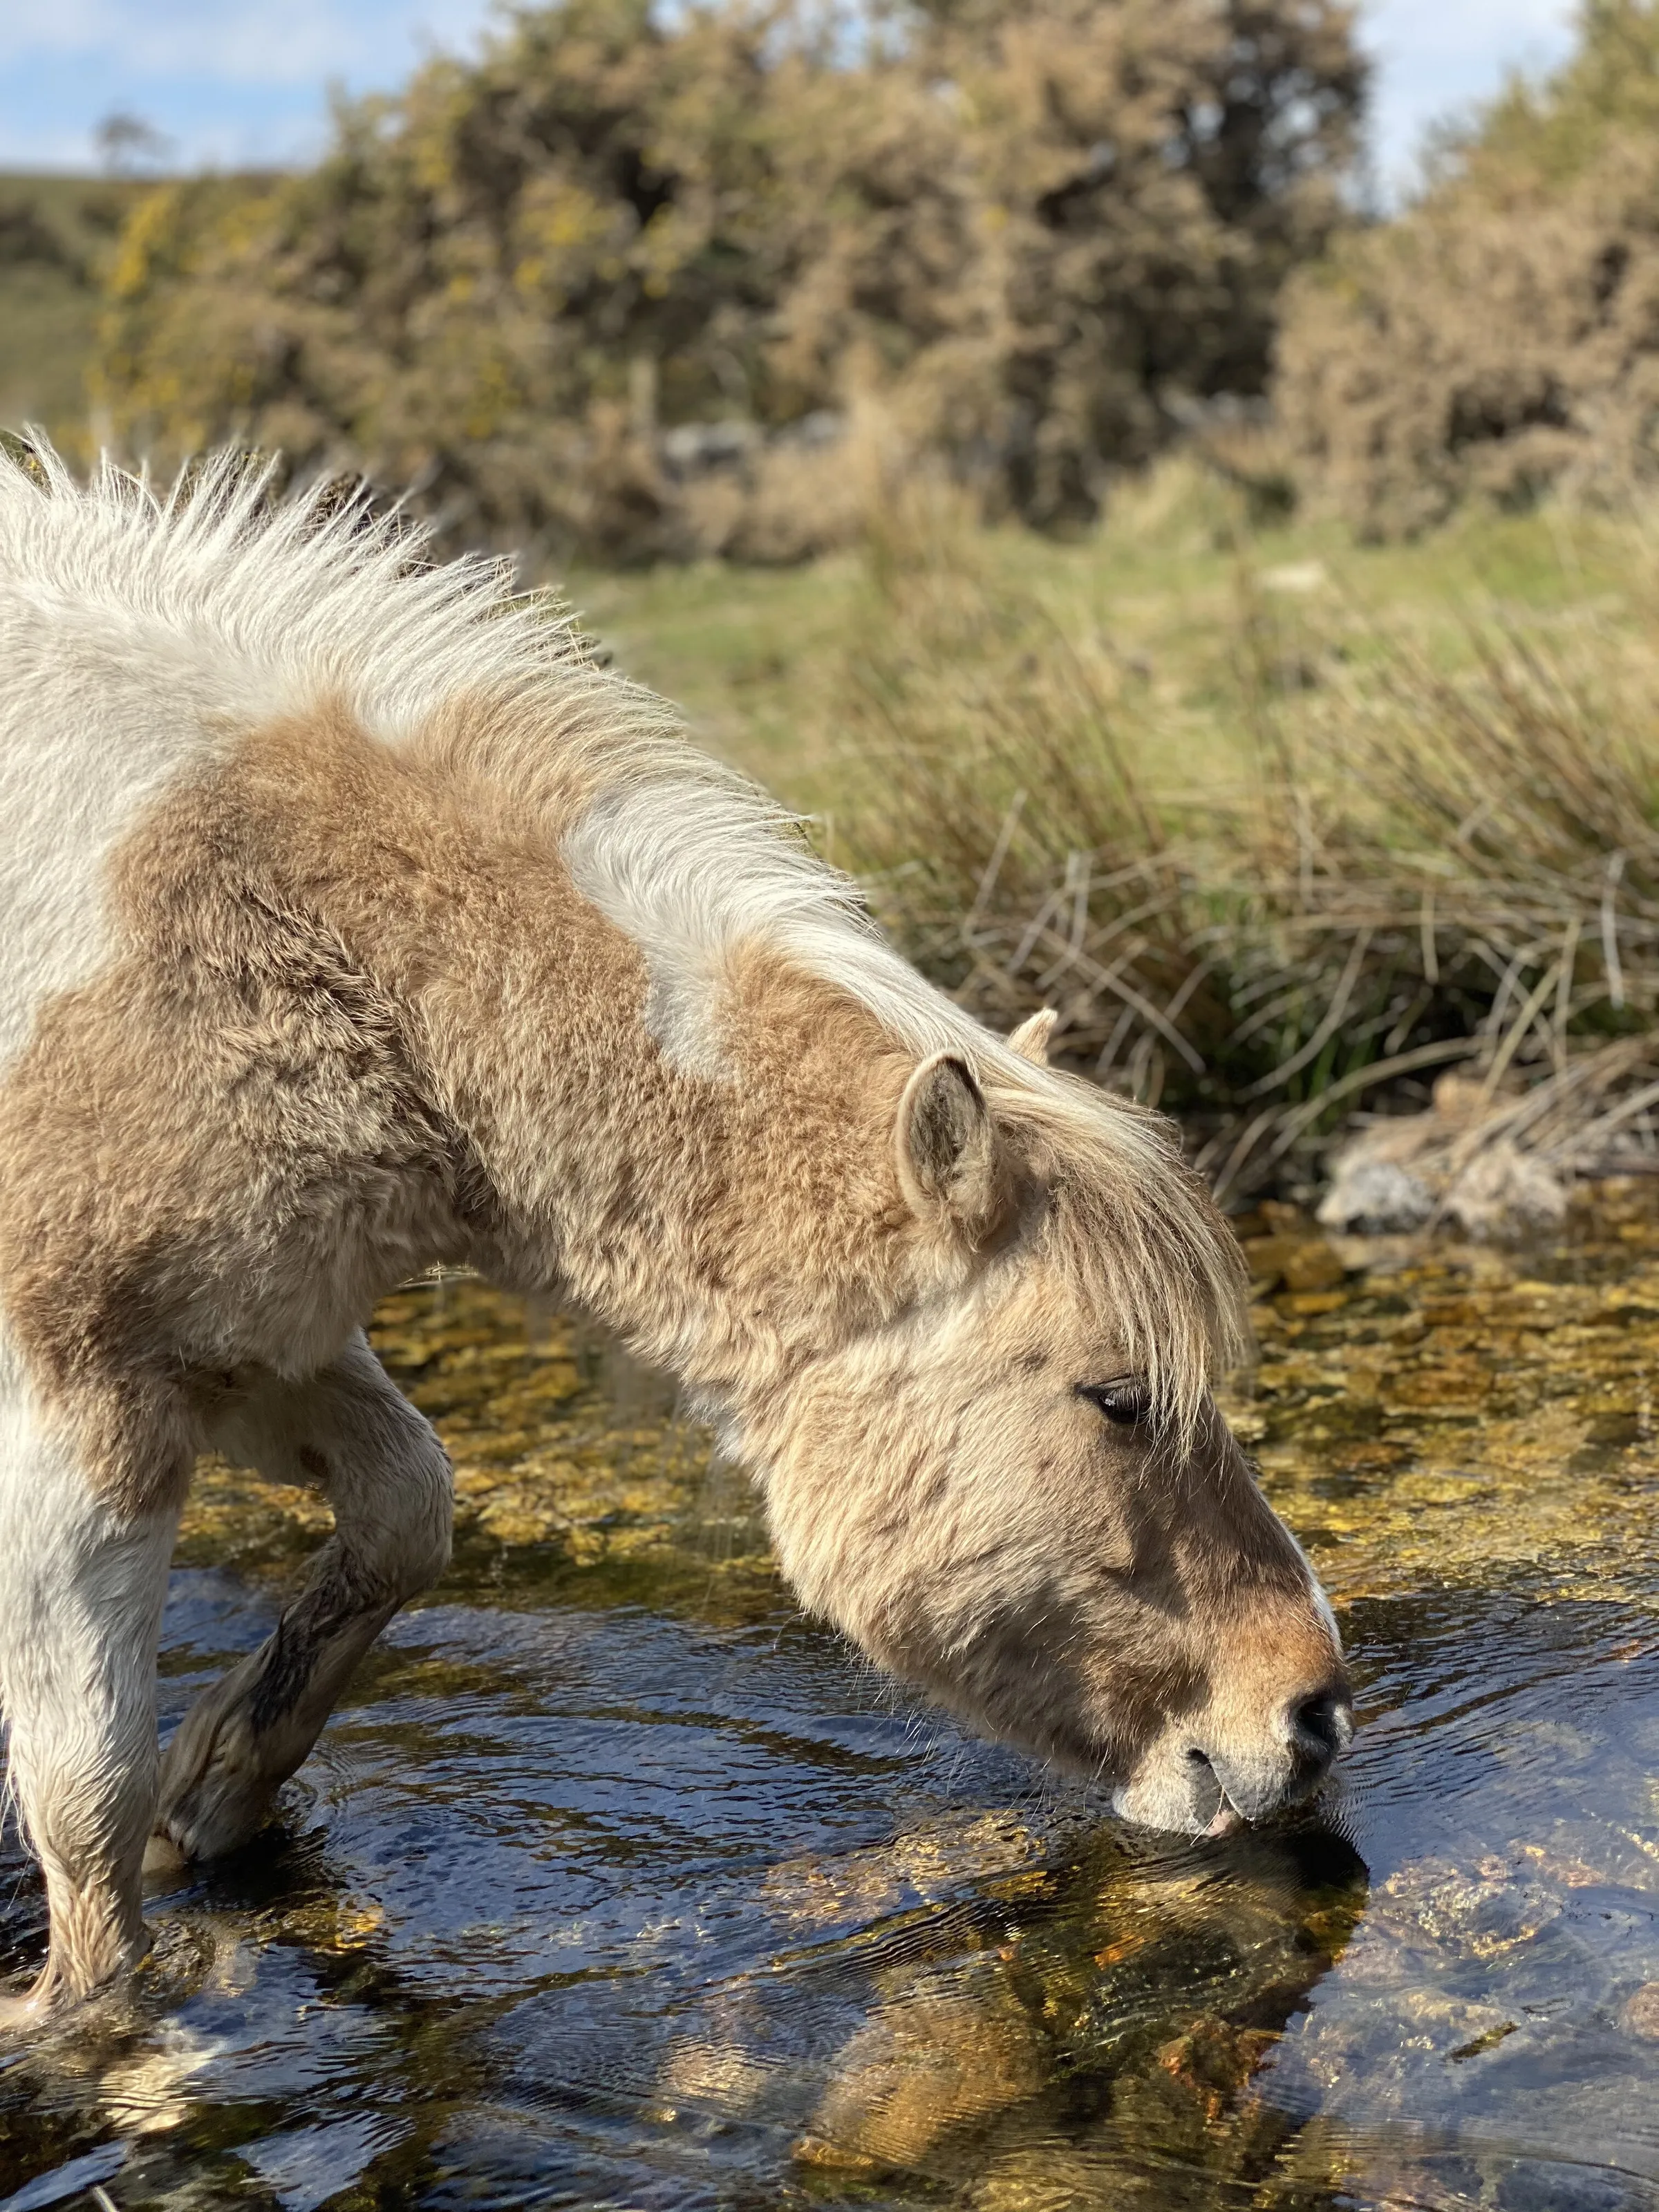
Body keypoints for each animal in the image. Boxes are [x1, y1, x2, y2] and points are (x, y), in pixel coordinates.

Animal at [0, 446, 1350, 2022]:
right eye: (1119, 1398)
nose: (1312, 1712)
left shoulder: (251, 1339)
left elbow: (406, 1511)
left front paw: (213, 1789)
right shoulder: (78, 1397)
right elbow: (85, 1797)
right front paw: (91, 2023)